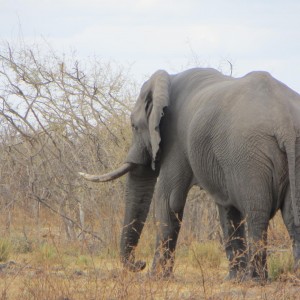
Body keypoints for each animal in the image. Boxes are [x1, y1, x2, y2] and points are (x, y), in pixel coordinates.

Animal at [79, 68, 300, 282]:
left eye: (134, 126)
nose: (139, 264)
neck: (167, 80)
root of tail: (286, 124)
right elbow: (226, 208)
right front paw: (232, 279)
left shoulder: (175, 141)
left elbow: (169, 200)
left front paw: (155, 278)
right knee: (291, 216)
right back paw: (292, 277)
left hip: (249, 156)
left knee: (256, 212)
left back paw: (254, 280)